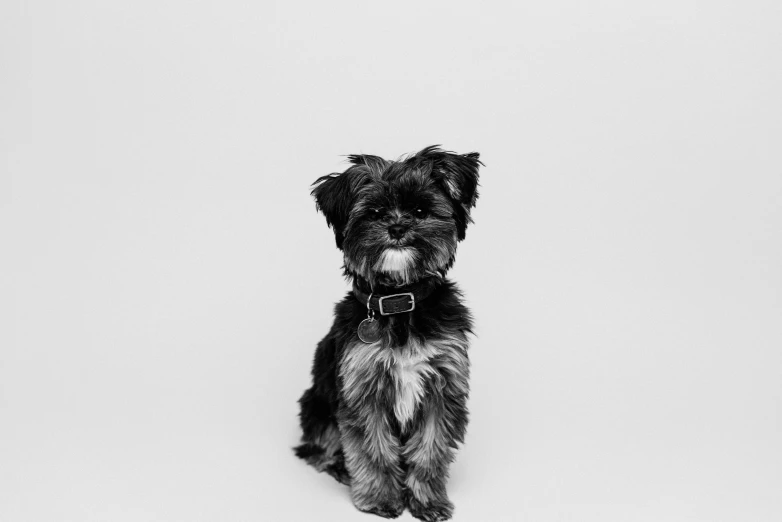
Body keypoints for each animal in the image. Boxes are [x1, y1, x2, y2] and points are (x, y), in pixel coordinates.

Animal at [294, 146, 478, 520]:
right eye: (375, 213)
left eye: (420, 210)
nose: (396, 226)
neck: (400, 303)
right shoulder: (364, 389)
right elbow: (372, 448)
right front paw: (380, 498)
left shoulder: (442, 389)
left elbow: (430, 450)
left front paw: (427, 500)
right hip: (314, 403)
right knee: (318, 447)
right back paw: (339, 467)